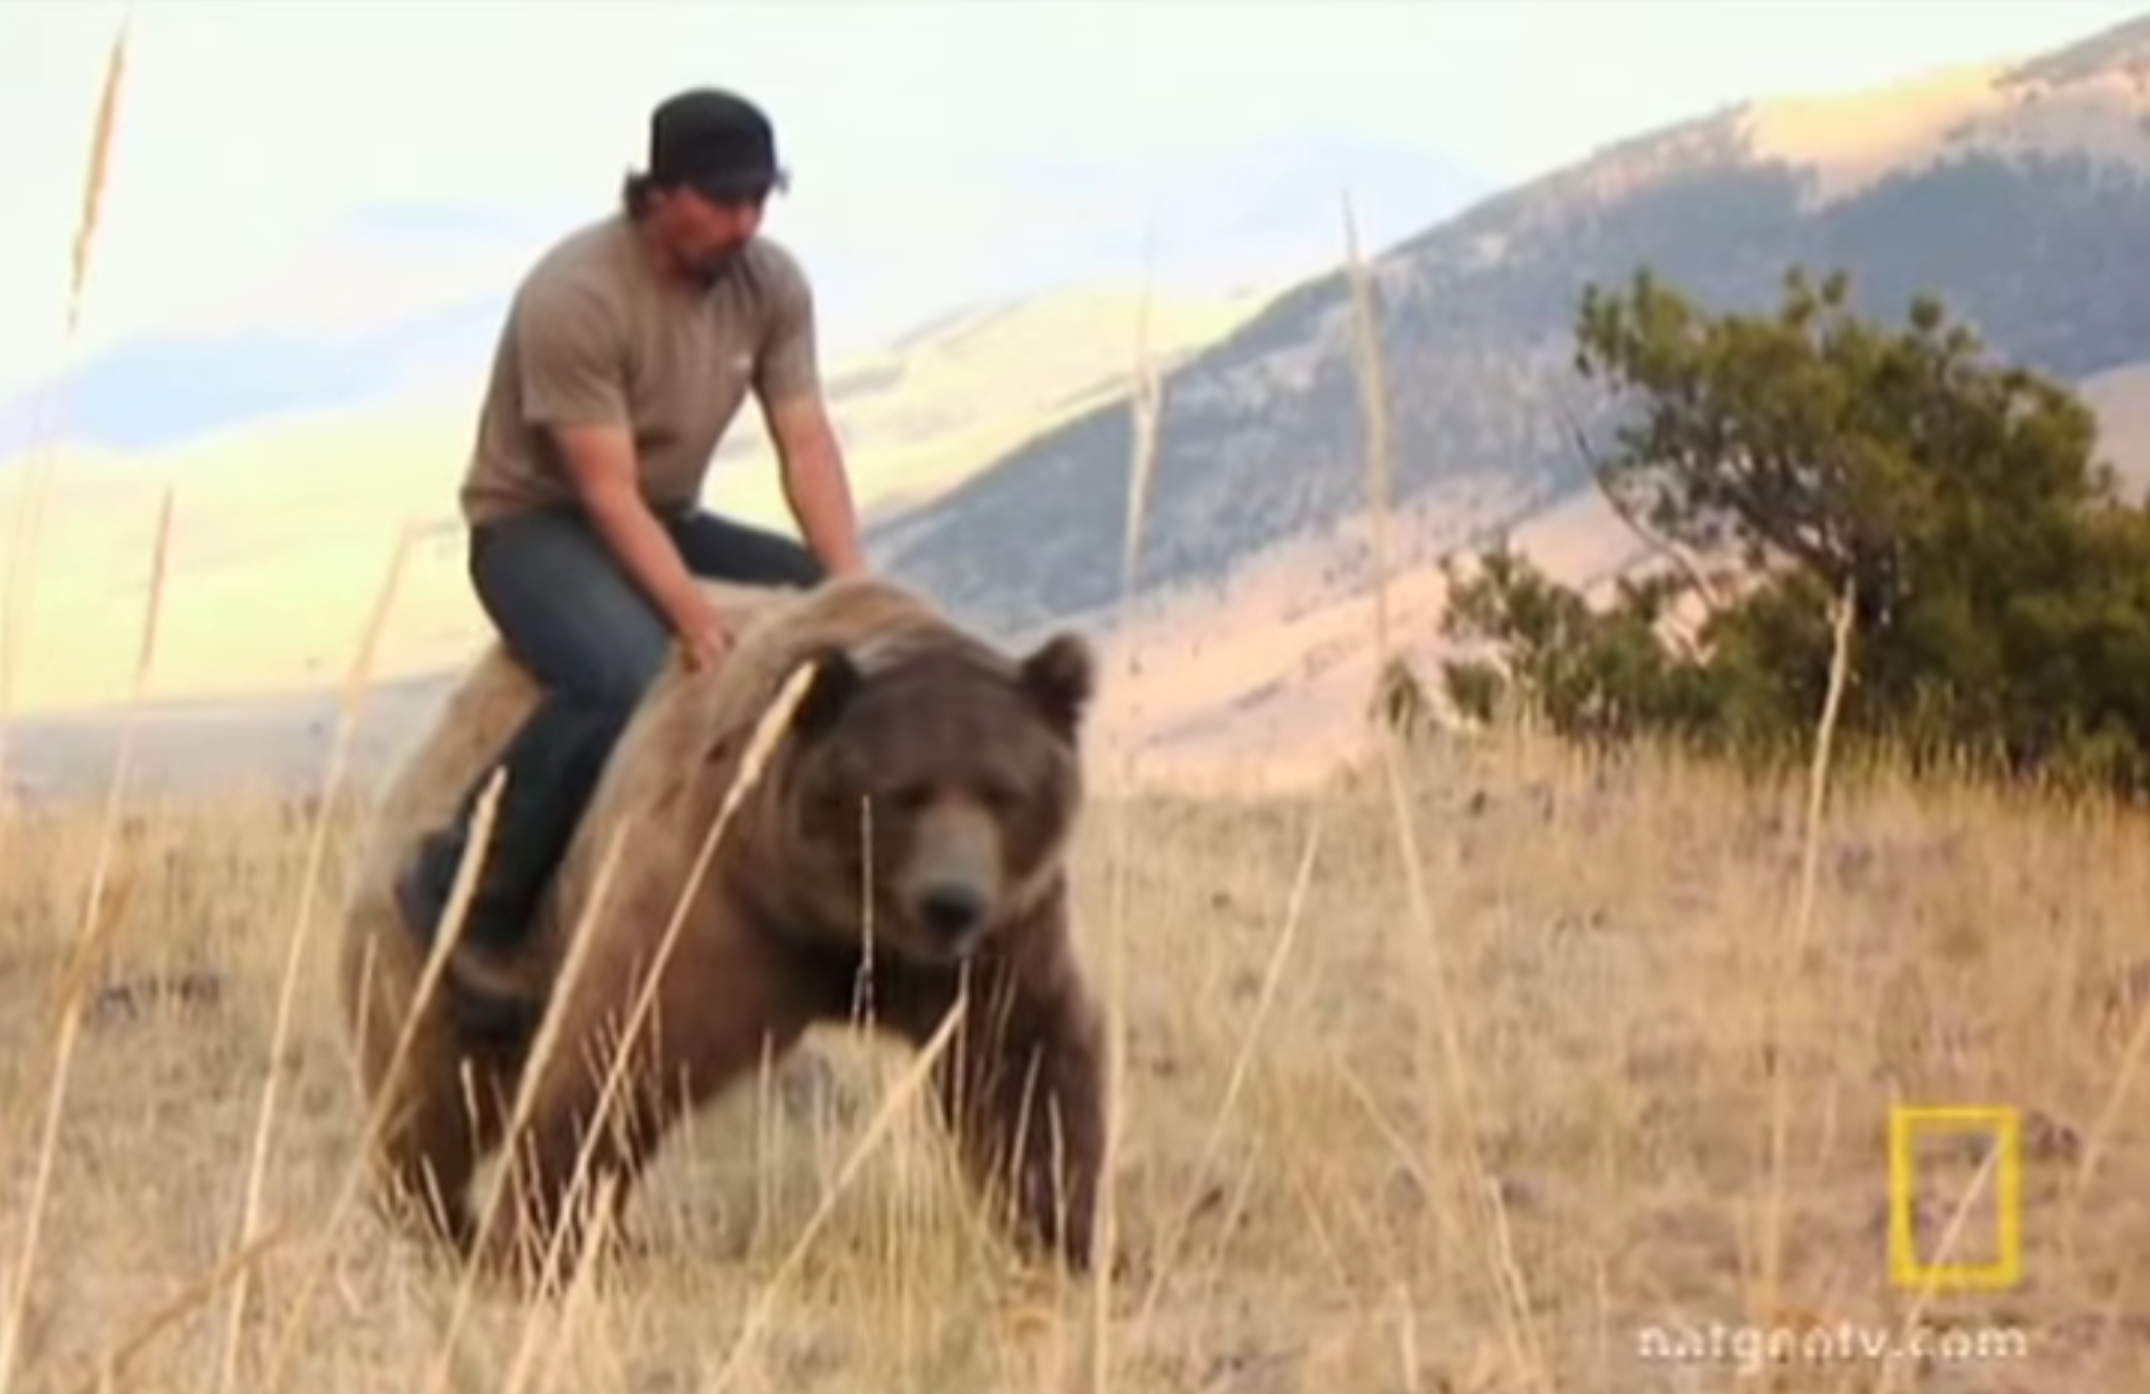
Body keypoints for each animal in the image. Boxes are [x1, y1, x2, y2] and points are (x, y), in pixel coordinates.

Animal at [339, 572, 1109, 1282]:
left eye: (1004, 792)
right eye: (903, 794)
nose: (952, 900)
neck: (835, 916)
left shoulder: (1001, 939)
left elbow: (1024, 1061)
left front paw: (1072, 1236)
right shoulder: (714, 899)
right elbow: (618, 1054)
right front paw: (536, 1243)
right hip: (436, 945)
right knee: (434, 1091)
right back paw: (439, 1221)